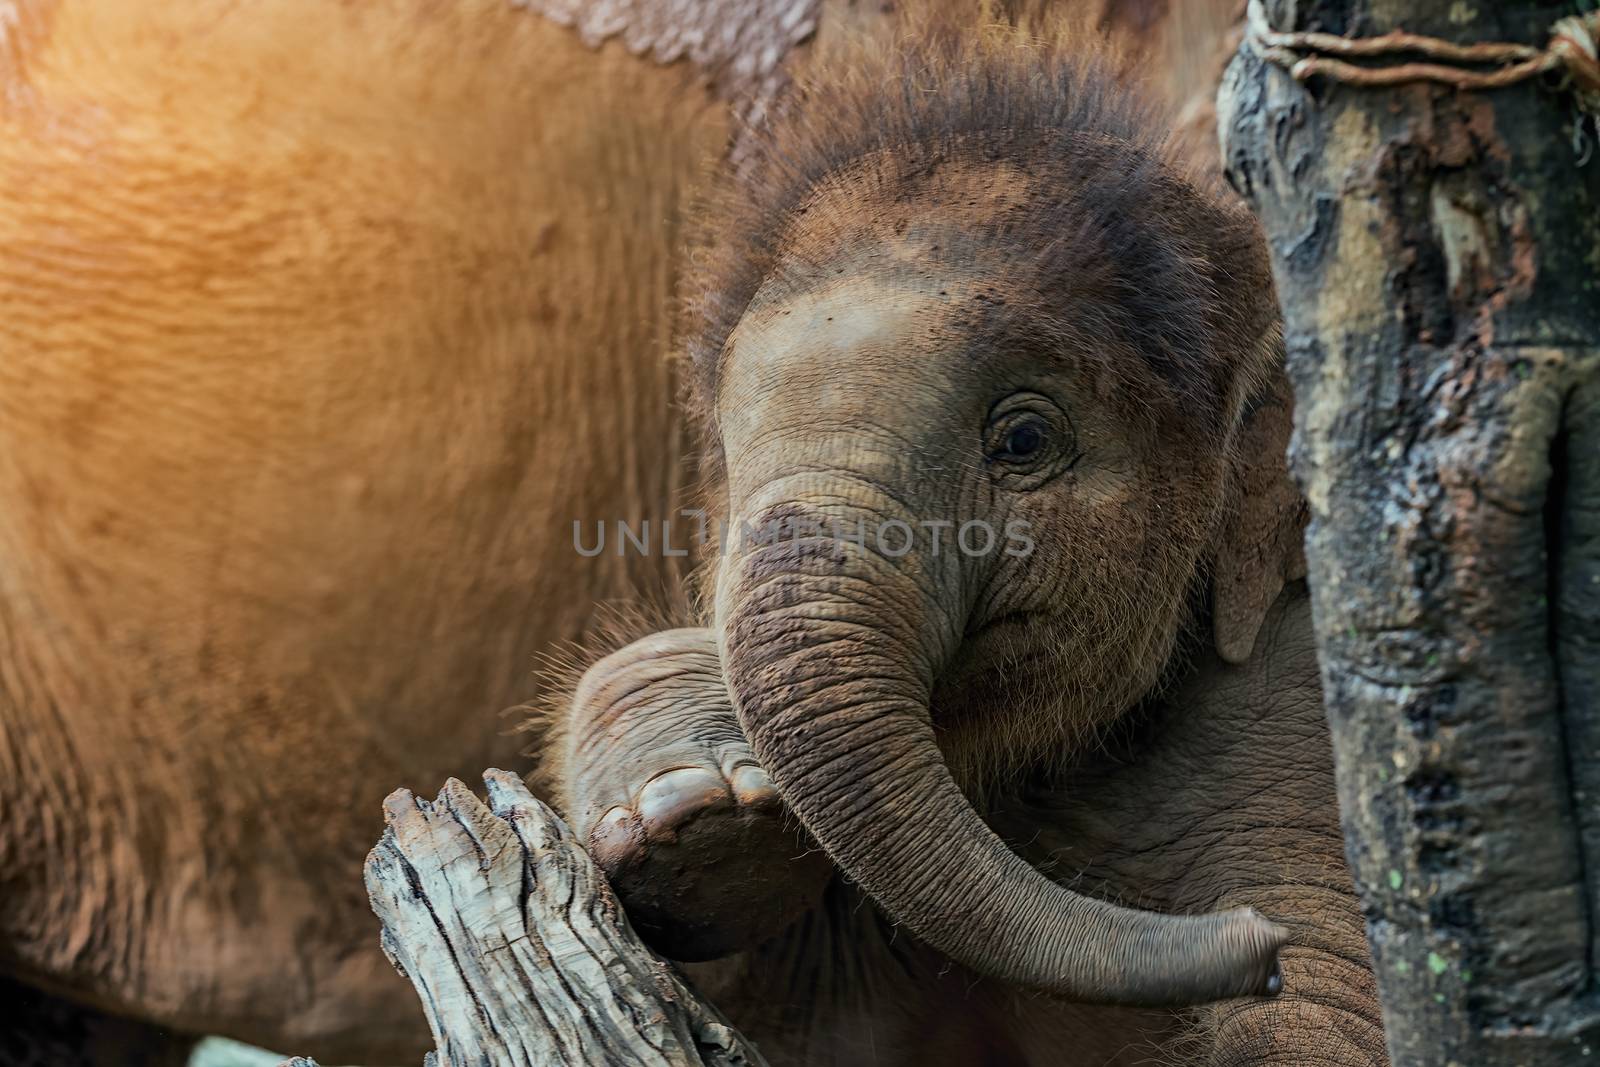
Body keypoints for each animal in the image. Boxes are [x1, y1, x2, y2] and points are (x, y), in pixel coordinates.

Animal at [544, 14, 1382, 1067]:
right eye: (727, 461)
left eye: (1022, 440)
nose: (1256, 939)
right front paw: (693, 814)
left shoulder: (1311, 706)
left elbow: (1342, 1011)